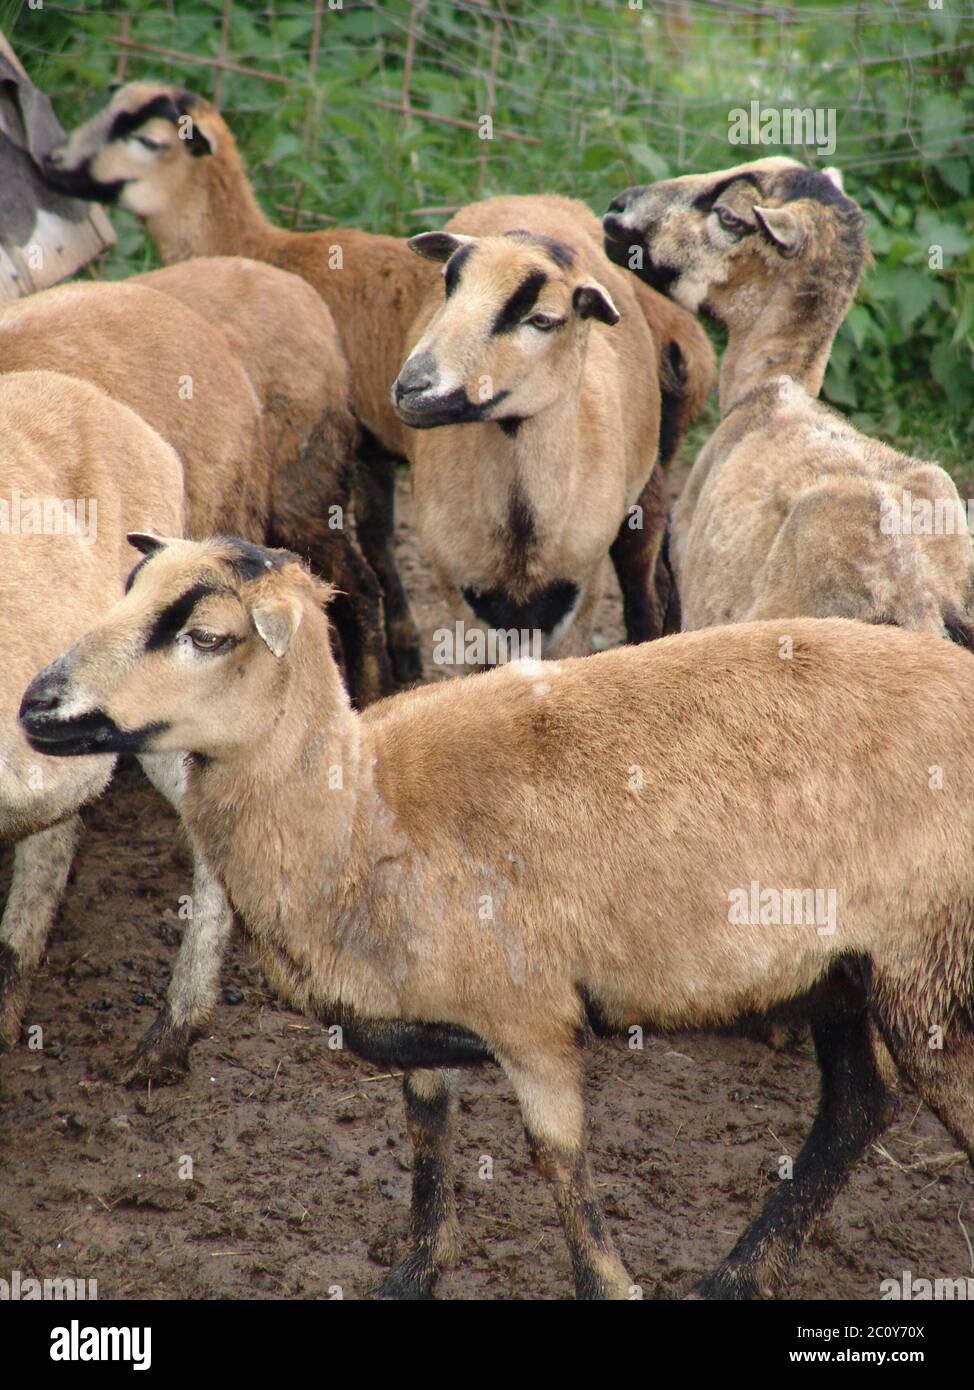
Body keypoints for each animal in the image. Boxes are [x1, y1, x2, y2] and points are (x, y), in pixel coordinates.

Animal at [20, 533, 972, 1301]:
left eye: (208, 636)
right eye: (126, 593)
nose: (35, 705)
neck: (360, 812)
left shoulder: (531, 1023)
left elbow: (561, 1170)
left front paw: (608, 1282)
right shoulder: (424, 1021)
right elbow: (427, 1138)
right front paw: (414, 1274)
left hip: (926, 971)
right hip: (840, 973)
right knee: (856, 1107)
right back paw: (736, 1277)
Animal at [386, 194, 683, 661]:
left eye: (542, 320)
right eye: (447, 288)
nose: (412, 388)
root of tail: (531, 198)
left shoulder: (580, 593)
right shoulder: (461, 594)